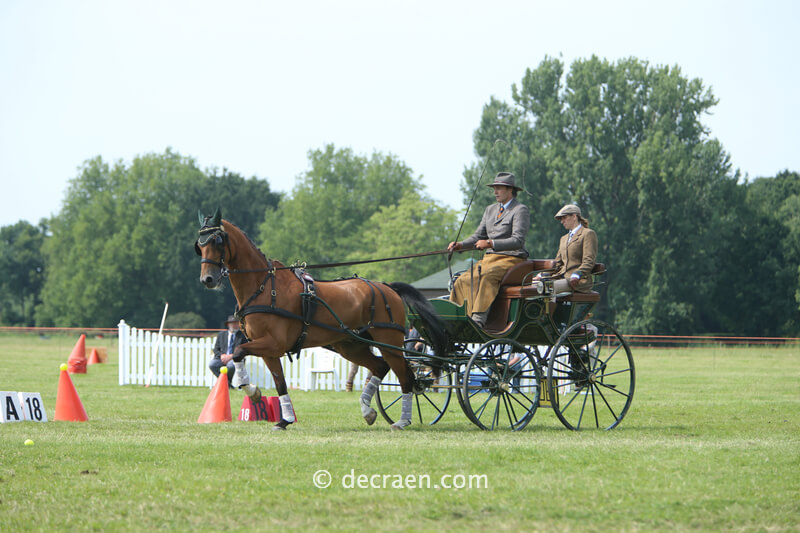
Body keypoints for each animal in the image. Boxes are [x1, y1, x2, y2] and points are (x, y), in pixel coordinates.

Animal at [194, 208, 448, 430]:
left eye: (217, 241)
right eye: (200, 245)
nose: (208, 279)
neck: (264, 287)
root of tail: (388, 287)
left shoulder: (273, 343)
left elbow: (237, 352)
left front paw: (254, 392)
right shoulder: (269, 350)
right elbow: (279, 382)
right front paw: (283, 418)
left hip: (389, 342)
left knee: (406, 376)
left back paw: (402, 421)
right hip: (351, 345)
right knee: (381, 366)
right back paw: (368, 411)